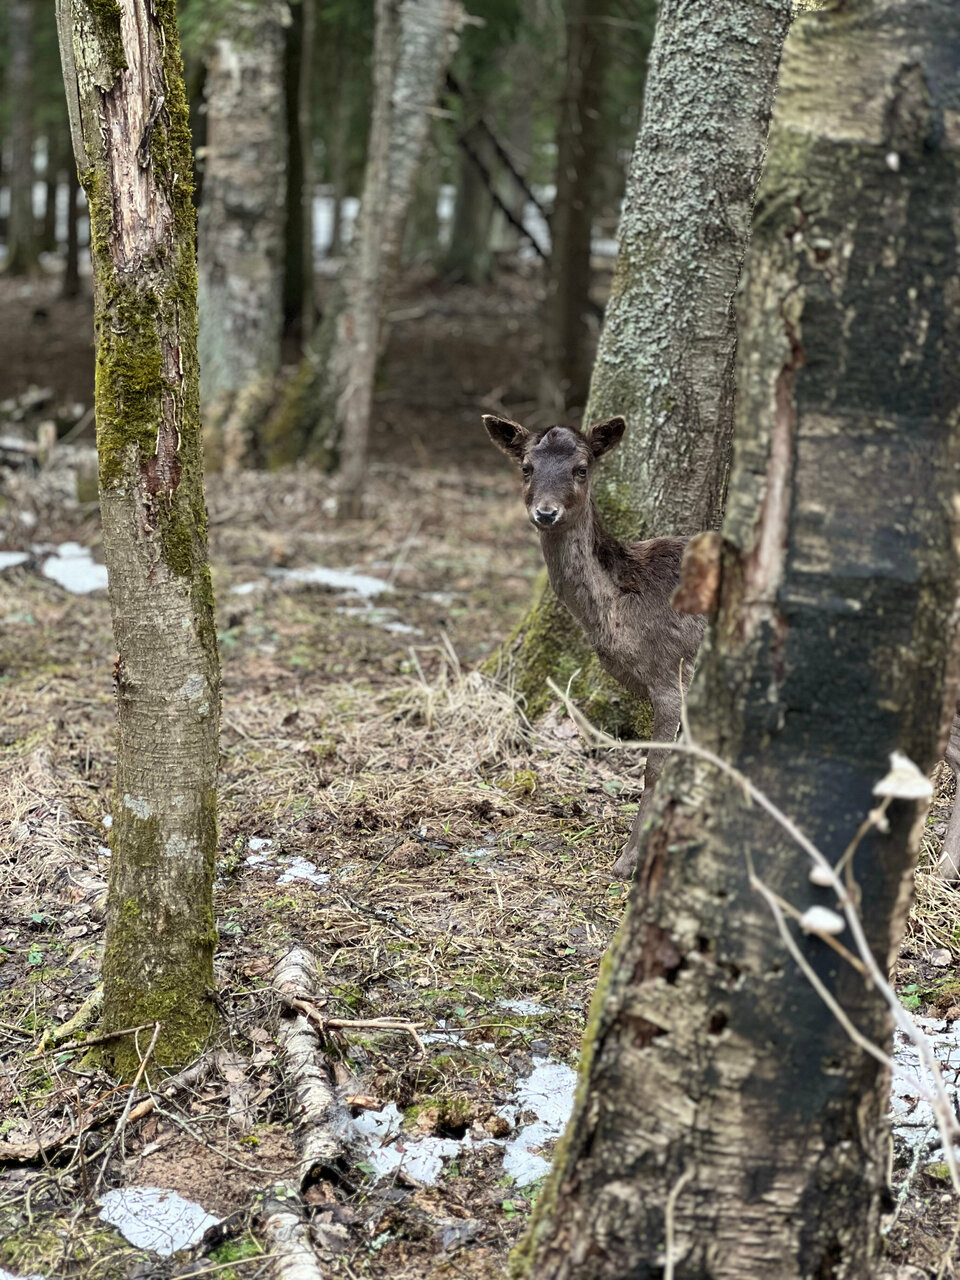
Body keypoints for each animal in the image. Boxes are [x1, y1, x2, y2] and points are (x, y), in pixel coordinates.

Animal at [483, 413, 707, 880]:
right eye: (526, 467)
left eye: (581, 469)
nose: (545, 512)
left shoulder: (673, 671)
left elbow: (656, 768)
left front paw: (628, 861)